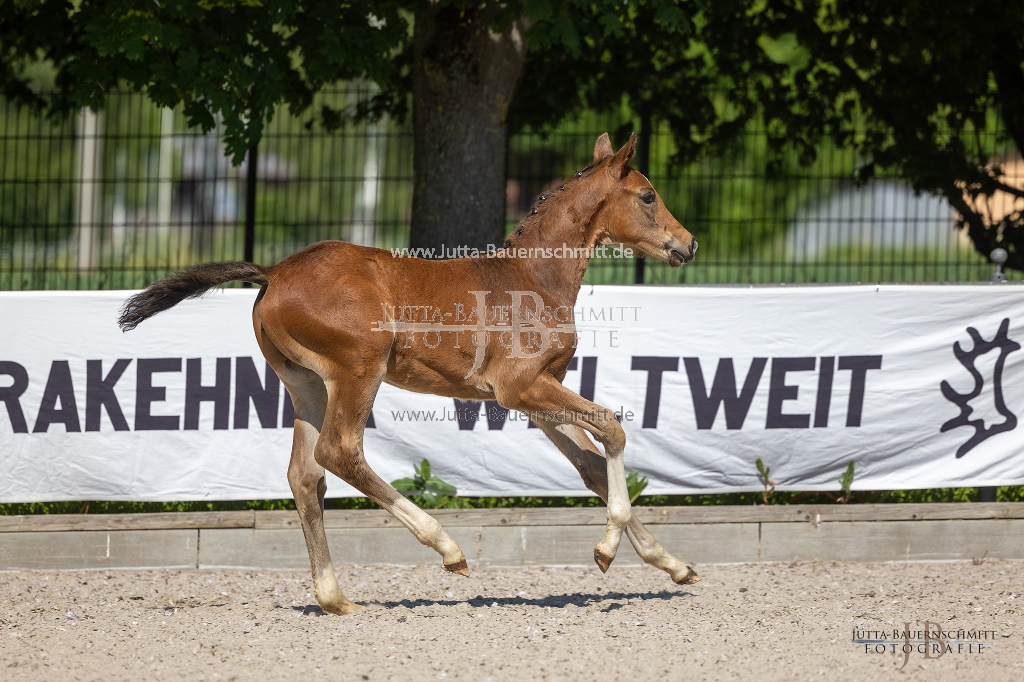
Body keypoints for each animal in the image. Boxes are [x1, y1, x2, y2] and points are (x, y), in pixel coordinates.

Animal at [117, 131, 696, 610]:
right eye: (648, 196)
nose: (687, 244)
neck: (532, 277)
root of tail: (274, 271)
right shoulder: (520, 387)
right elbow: (612, 428)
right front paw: (607, 549)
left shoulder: (536, 392)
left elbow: (592, 466)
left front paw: (672, 564)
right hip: (358, 370)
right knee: (339, 452)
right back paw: (446, 547)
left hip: (306, 384)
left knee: (305, 475)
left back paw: (335, 599)